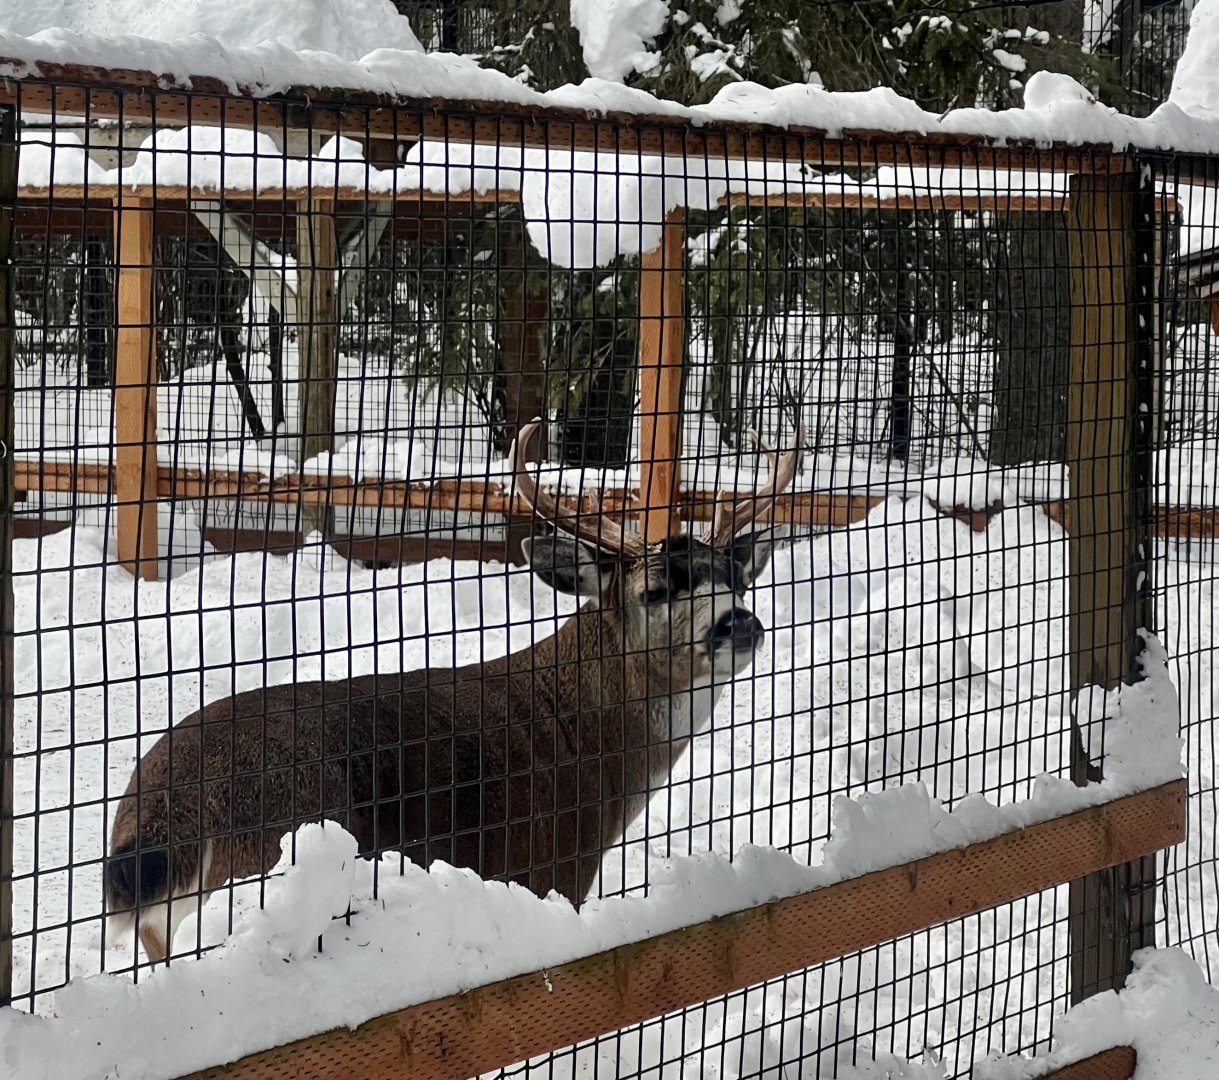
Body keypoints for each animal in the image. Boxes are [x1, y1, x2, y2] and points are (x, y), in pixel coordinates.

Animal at [104, 419, 804, 963]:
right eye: (653, 590)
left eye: (737, 577)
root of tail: (153, 813)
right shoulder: (551, 867)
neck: (589, 742)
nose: (741, 623)